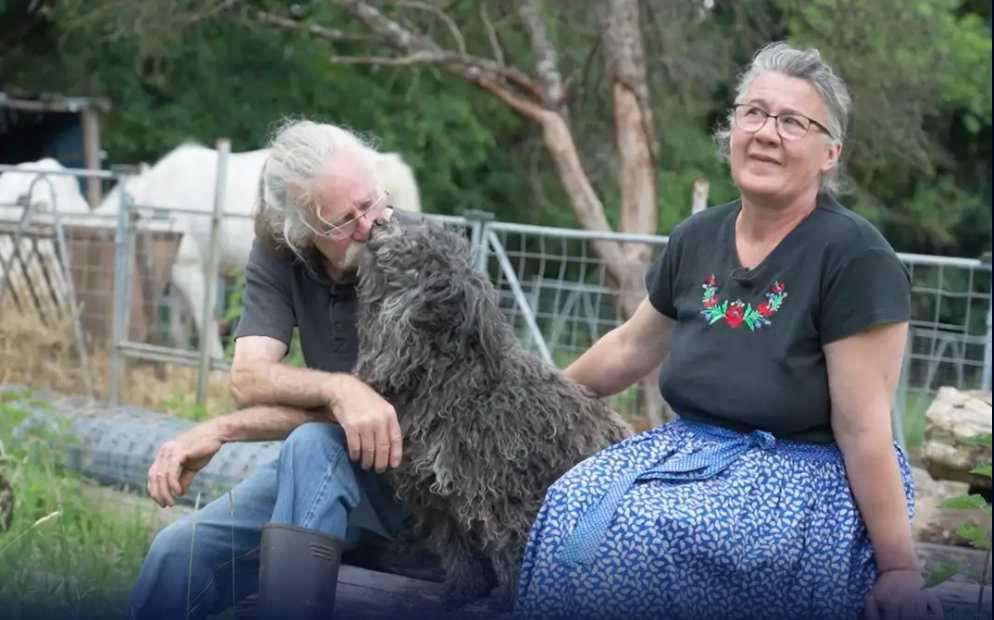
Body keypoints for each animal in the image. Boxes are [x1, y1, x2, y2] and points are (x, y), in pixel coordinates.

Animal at [354, 219, 628, 612]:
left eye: (417, 244)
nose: (378, 220)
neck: (454, 381)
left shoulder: (510, 502)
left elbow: (515, 559)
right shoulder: (440, 498)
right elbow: (460, 554)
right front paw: (458, 594)